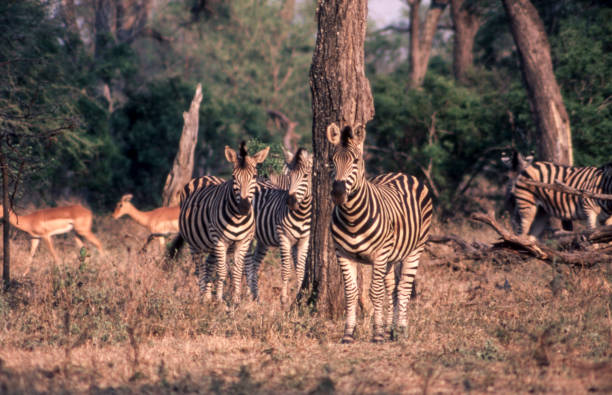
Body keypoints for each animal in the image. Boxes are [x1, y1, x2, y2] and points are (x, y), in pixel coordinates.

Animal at [179, 144, 270, 304]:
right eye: (233, 177)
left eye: (254, 176)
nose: (244, 207)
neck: (238, 218)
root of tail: (204, 176)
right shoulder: (220, 241)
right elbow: (222, 271)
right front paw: (220, 301)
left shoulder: (243, 242)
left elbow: (237, 272)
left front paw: (235, 301)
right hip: (194, 244)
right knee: (199, 268)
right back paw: (202, 297)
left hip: (211, 246)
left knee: (208, 265)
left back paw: (207, 296)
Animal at [245, 148, 314, 306]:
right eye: (290, 177)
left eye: (305, 176)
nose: (291, 201)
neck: (302, 213)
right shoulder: (284, 238)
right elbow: (286, 269)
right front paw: (284, 299)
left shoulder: (304, 240)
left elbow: (300, 269)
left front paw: (300, 295)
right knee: (247, 264)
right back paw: (246, 296)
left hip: (263, 240)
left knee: (255, 263)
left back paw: (256, 298)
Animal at [328, 123, 432, 344]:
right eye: (332, 161)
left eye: (355, 161)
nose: (338, 193)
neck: (352, 218)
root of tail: (402, 173)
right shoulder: (342, 254)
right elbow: (351, 293)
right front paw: (348, 334)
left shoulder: (379, 254)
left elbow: (375, 293)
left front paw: (376, 334)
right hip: (391, 257)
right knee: (391, 288)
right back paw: (390, 331)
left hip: (415, 249)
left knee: (403, 288)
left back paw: (401, 330)